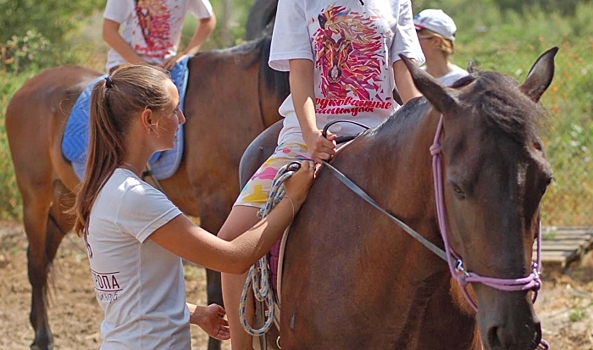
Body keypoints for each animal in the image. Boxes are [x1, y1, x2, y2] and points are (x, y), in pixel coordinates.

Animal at [5, 33, 288, 350]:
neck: (245, 98)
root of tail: (28, 87)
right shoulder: (214, 208)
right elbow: (217, 287)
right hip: (35, 196)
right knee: (37, 263)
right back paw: (43, 337)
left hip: (67, 200)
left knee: (45, 255)